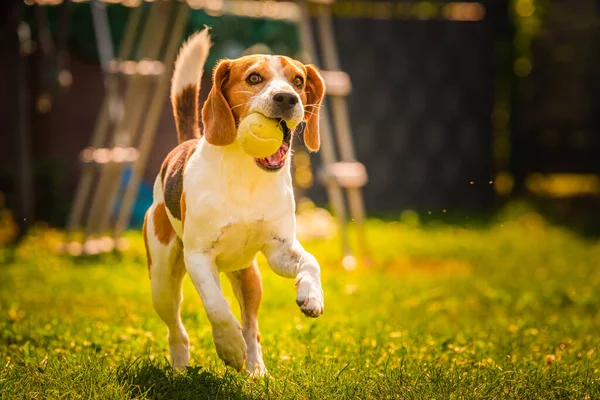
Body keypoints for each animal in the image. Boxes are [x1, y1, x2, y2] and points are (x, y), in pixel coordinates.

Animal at [143, 28, 326, 376]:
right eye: (254, 77)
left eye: (297, 81)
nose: (287, 98)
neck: (247, 173)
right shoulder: (199, 257)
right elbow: (217, 307)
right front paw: (228, 346)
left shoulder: (279, 249)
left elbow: (312, 261)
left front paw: (312, 294)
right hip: (161, 281)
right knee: (177, 328)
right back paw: (180, 367)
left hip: (249, 276)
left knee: (252, 326)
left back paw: (257, 370)